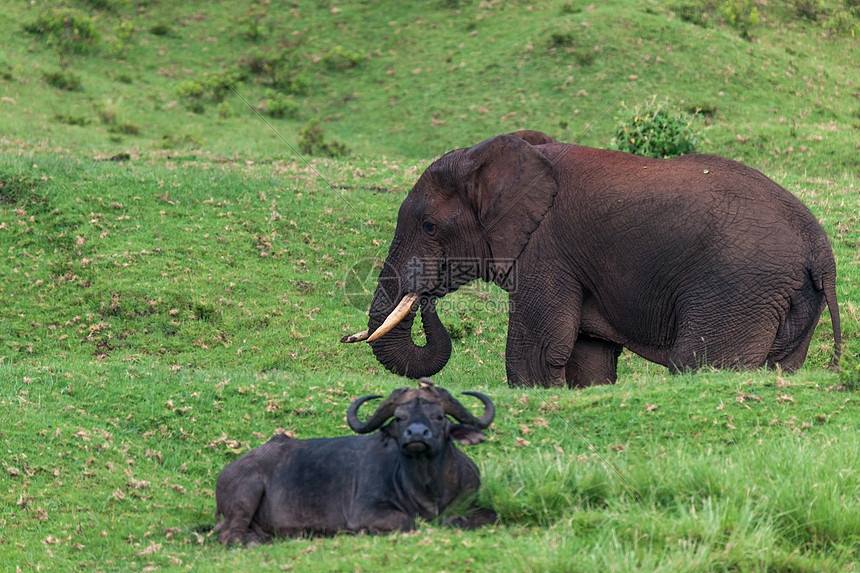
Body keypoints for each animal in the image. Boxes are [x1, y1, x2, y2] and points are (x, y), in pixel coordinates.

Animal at [215, 378, 498, 544]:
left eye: (439, 416)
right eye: (400, 417)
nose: (417, 434)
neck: (427, 490)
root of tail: (226, 473)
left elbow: (490, 514)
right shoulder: (365, 511)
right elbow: (408, 521)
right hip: (247, 491)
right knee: (229, 535)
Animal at [340, 130, 840, 388]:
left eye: (428, 227)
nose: (426, 300)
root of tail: (820, 250)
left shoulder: (546, 247)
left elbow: (537, 350)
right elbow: (587, 356)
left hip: (739, 285)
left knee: (697, 362)